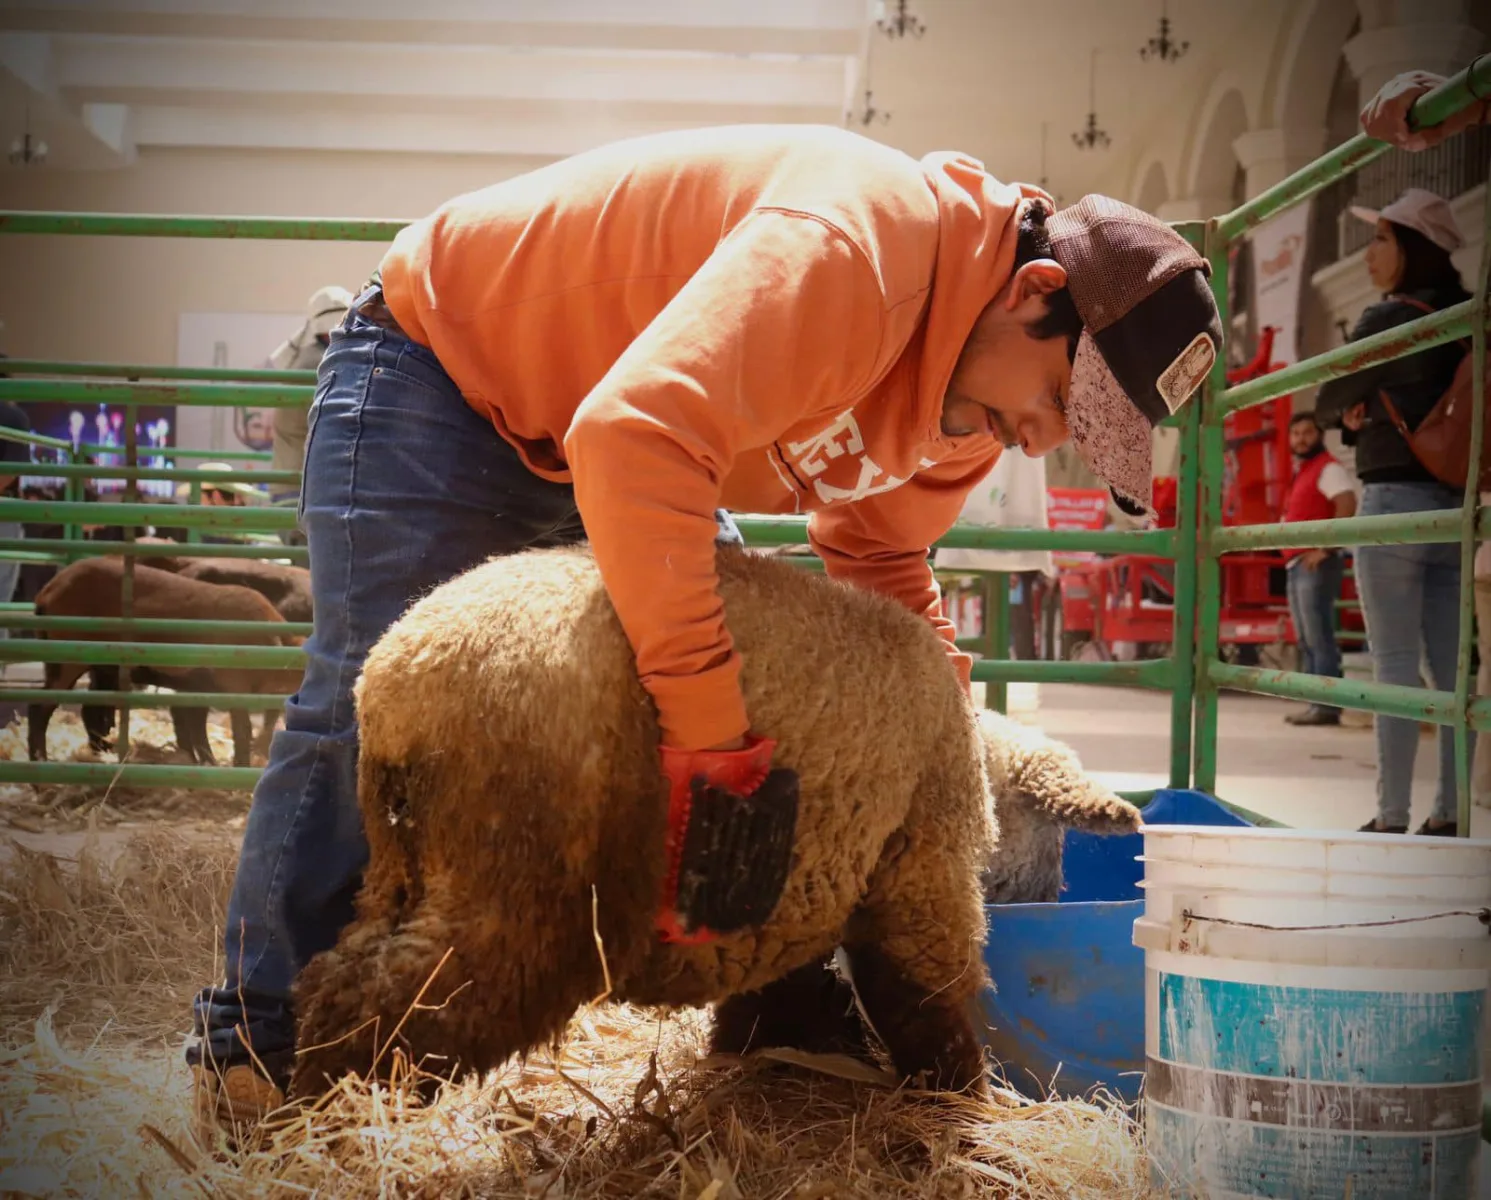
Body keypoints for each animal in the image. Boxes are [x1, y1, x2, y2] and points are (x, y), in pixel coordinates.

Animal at [27, 554, 304, 763]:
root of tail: (46, 592)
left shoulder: (200, 685)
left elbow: (196, 724)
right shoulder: (233, 684)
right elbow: (240, 730)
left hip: (103, 666)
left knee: (90, 710)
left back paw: (102, 754)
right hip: (66, 657)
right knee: (40, 707)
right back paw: (40, 761)